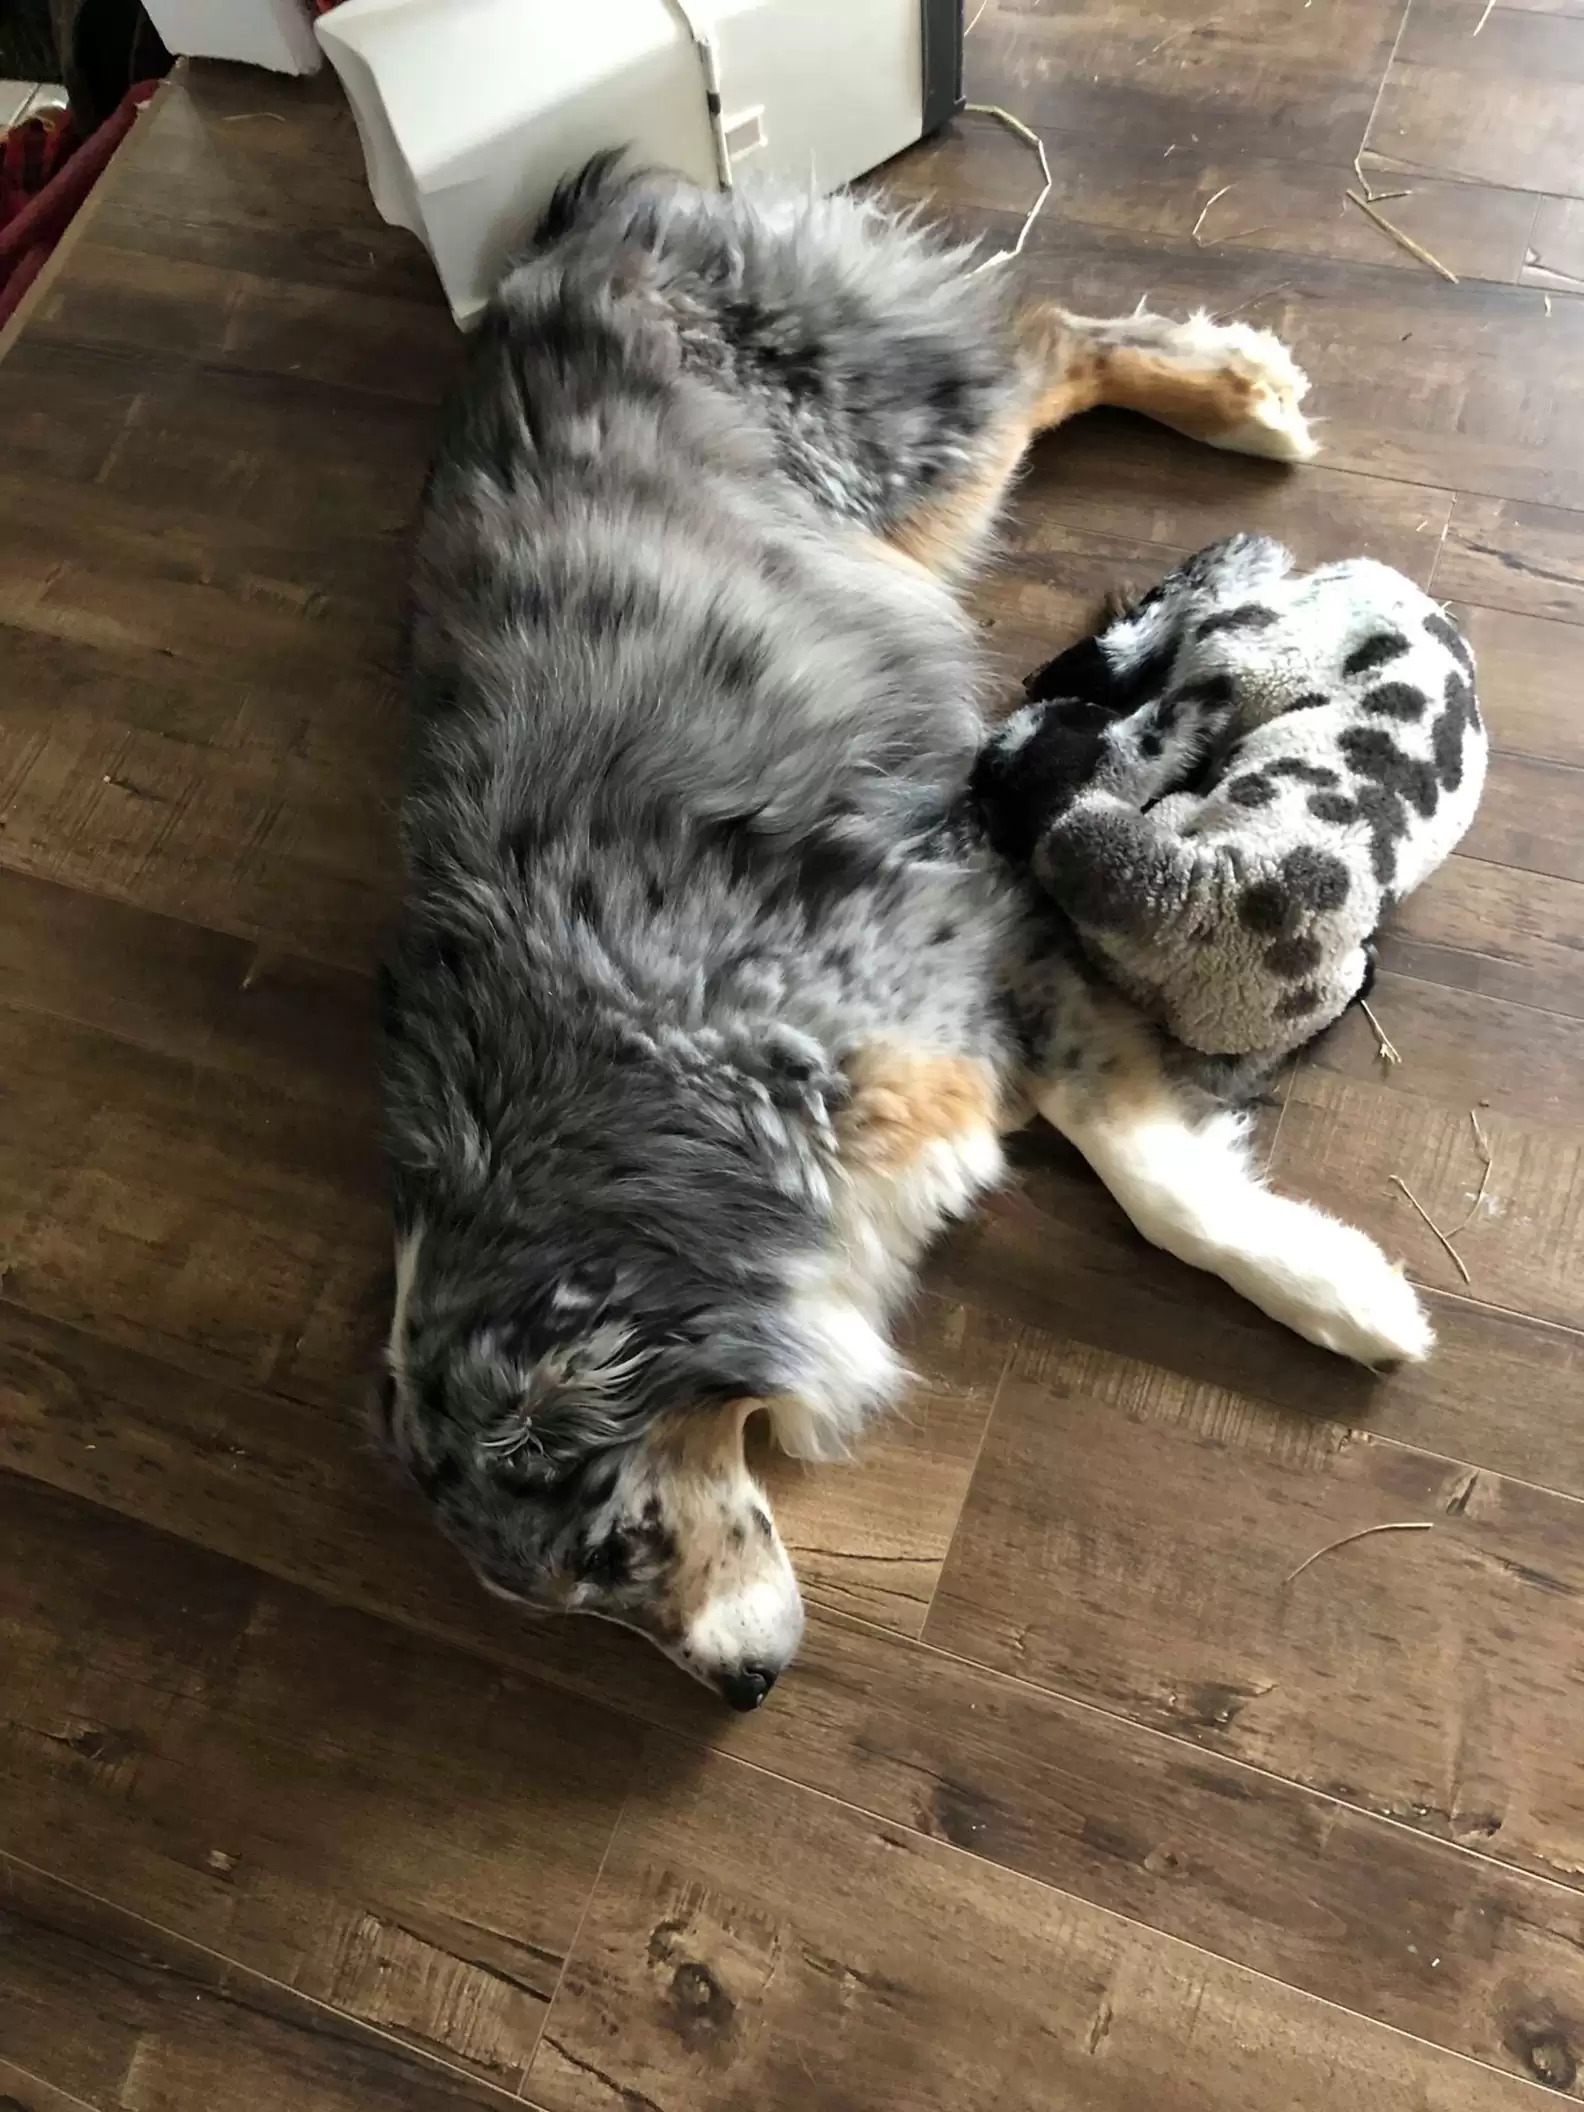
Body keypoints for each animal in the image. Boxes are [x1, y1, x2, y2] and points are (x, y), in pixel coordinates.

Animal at [378, 160, 1436, 1714]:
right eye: (572, 1605)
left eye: (614, 1539)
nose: (743, 1691)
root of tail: (566, 238)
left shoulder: (972, 942)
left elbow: (1159, 1188)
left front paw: (1339, 1296)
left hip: (887, 455)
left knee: (1042, 340)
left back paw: (1242, 394)